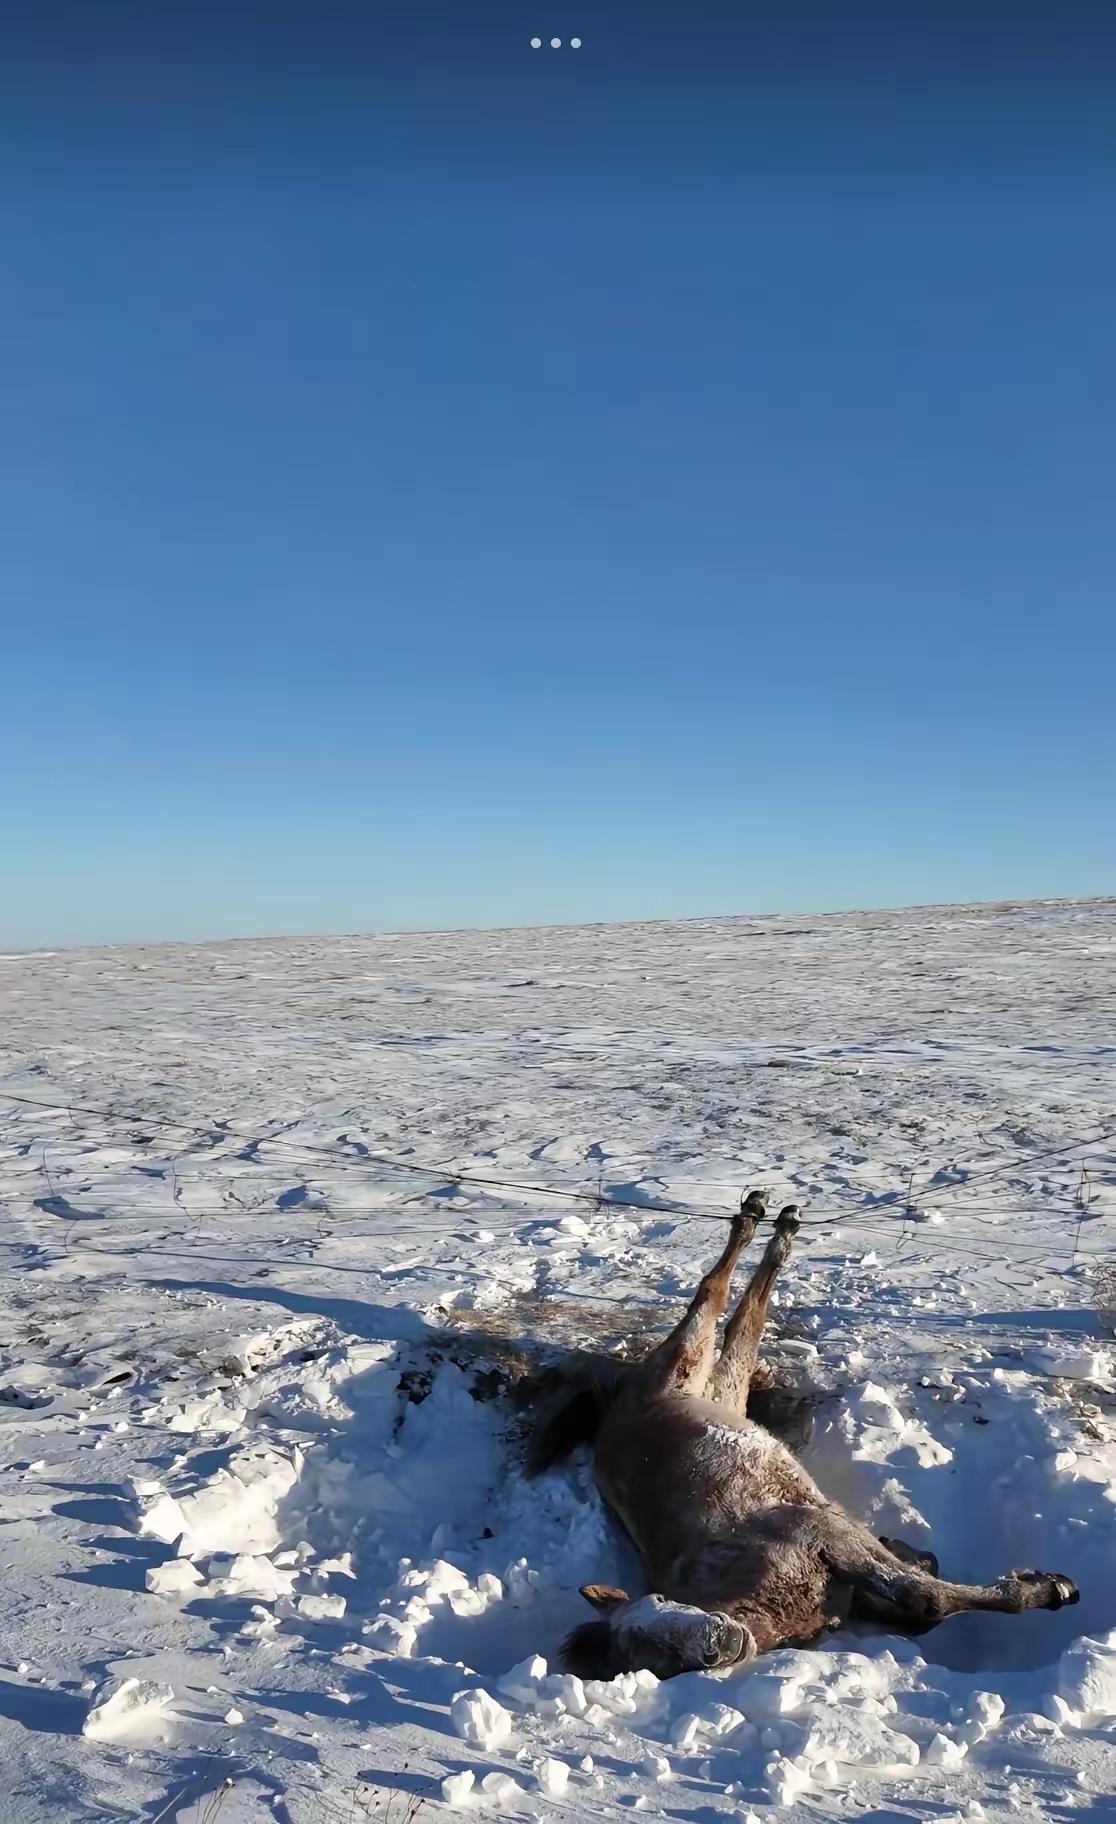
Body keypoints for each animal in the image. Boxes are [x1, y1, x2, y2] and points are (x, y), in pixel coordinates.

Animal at [530, 1190, 1079, 1680]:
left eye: (663, 1603)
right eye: (655, 1659)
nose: (718, 1643)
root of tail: (617, 1406)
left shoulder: (823, 1532)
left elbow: (922, 1595)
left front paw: (1047, 1587)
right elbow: (923, 1604)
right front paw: (1044, 1586)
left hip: (688, 1365)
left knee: (715, 1297)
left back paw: (763, 1217)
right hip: (722, 1392)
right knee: (742, 1328)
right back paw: (772, 1223)